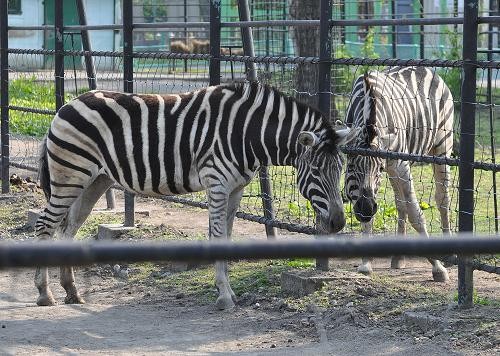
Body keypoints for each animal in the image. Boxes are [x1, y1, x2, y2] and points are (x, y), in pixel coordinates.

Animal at [34, 82, 352, 310]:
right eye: (316, 171)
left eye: (340, 169)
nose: (338, 223)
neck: (246, 133)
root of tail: (66, 105)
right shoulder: (217, 183)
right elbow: (217, 237)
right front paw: (224, 297)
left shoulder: (236, 188)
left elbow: (227, 237)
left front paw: (228, 291)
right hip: (71, 176)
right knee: (45, 226)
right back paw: (45, 294)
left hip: (94, 180)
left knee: (68, 229)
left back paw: (72, 291)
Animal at [342, 67, 456, 282]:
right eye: (351, 166)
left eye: (378, 169)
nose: (366, 209)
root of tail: (424, 67)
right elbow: (378, 214)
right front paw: (366, 263)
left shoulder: (401, 165)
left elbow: (416, 215)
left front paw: (437, 267)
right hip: (396, 167)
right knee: (400, 202)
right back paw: (398, 257)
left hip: (442, 146)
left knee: (442, 199)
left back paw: (450, 254)